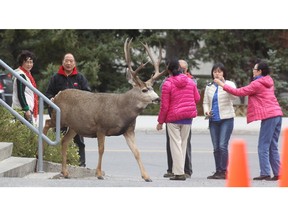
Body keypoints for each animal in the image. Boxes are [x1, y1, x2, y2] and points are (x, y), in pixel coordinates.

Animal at [43, 38, 168, 181]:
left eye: (152, 88)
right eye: (144, 90)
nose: (158, 98)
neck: (121, 110)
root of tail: (57, 95)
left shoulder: (129, 130)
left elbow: (136, 151)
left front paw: (147, 176)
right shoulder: (101, 126)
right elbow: (101, 149)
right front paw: (98, 174)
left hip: (74, 126)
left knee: (64, 141)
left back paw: (65, 172)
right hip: (58, 118)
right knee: (46, 123)